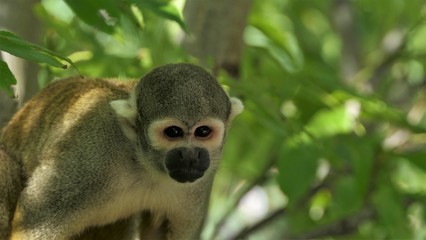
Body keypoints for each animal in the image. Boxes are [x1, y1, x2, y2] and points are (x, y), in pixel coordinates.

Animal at [0, 62, 243, 239]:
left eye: (203, 131)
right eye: (173, 132)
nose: (190, 156)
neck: (145, 166)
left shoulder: (198, 184)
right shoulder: (90, 158)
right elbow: (35, 219)